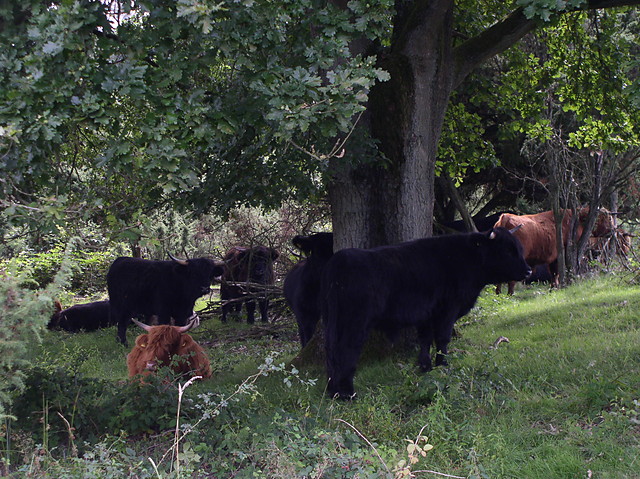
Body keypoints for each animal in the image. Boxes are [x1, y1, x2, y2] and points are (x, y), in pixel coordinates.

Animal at [322, 227, 532, 400]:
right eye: (507, 250)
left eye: (519, 248)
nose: (529, 271)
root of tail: (340, 259)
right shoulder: (448, 309)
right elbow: (442, 339)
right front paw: (443, 365)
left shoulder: (426, 314)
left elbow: (425, 340)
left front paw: (426, 367)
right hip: (355, 322)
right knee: (347, 349)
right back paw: (347, 393)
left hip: (331, 321)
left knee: (331, 351)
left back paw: (333, 390)